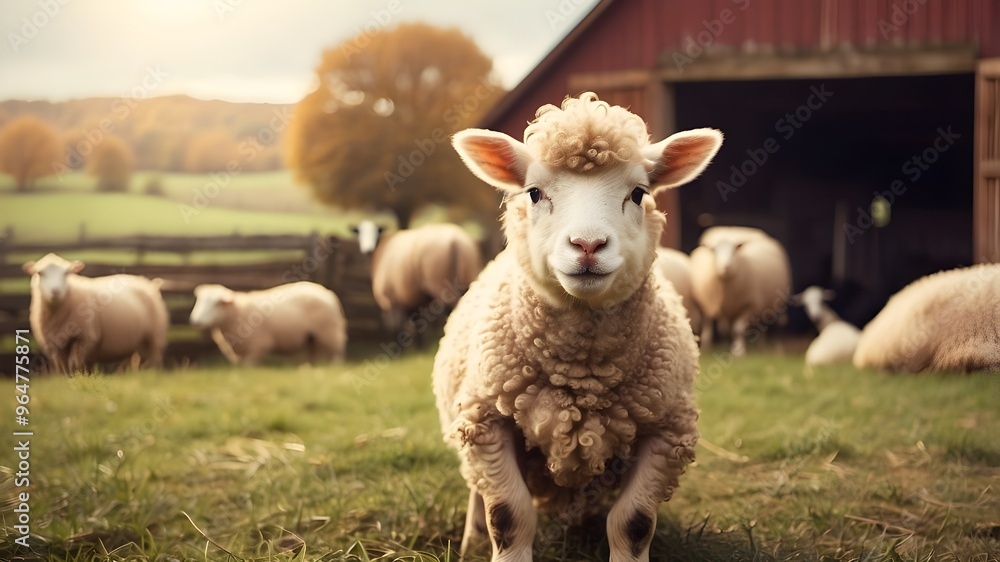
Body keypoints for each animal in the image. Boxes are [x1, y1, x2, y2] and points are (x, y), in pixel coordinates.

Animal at [22, 253, 169, 374]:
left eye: (66, 273)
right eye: (40, 273)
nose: (56, 291)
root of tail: (149, 283)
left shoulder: (87, 337)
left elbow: (74, 364)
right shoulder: (55, 345)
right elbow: (64, 368)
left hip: (155, 336)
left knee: (154, 360)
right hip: (137, 342)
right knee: (138, 361)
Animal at [189, 282, 347, 366]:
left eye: (216, 303)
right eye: (199, 300)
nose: (195, 321)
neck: (237, 312)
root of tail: (328, 293)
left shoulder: (257, 347)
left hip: (330, 334)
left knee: (336, 354)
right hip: (312, 338)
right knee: (313, 353)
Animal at [352, 220, 482, 341]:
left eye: (375, 231)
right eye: (360, 232)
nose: (367, 249)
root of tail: (456, 241)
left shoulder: (391, 300)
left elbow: (396, 326)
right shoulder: (413, 301)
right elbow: (417, 324)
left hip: (441, 286)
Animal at [433, 92, 722, 562]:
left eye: (638, 193)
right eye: (534, 193)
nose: (588, 245)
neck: (583, 377)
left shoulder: (667, 431)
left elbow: (633, 523)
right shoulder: (487, 422)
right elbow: (508, 517)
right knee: (477, 490)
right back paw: (472, 538)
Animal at [689, 226, 791, 357]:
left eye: (734, 251)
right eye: (714, 251)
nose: (726, 267)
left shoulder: (750, 305)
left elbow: (738, 329)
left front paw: (739, 351)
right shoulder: (712, 303)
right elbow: (723, 330)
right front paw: (724, 347)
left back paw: (762, 348)